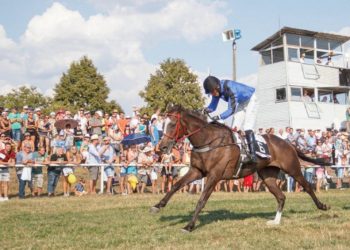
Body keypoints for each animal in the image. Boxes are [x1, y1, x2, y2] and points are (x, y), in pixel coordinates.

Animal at [150, 105, 330, 232]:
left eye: (172, 124)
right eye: (162, 124)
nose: (162, 147)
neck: (208, 141)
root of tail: (288, 143)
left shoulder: (214, 175)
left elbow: (202, 200)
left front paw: (189, 226)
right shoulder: (197, 171)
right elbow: (176, 185)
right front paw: (158, 205)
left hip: (292, 169)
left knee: (307, 186)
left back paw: (322, 206)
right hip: (267, 176)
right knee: (281, 196)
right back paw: (275, 221)